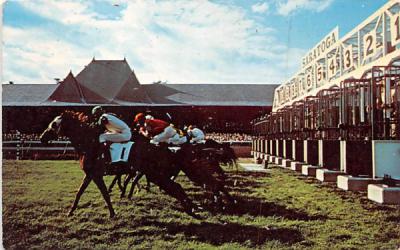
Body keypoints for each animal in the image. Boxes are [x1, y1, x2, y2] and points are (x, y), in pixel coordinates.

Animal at [39, 110, 199, 218]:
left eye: (54, 124)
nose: (41, 138)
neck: (89, 144)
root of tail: (161, 148)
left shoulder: (96, 175)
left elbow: (105, 193)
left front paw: (112, 213)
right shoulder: (90, 174)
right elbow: (79, 192)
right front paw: (70, 211)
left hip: (155, 174)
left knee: (175, 187)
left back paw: (191, 208)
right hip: (154, 174)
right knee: (175, 187)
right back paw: (191, 207)